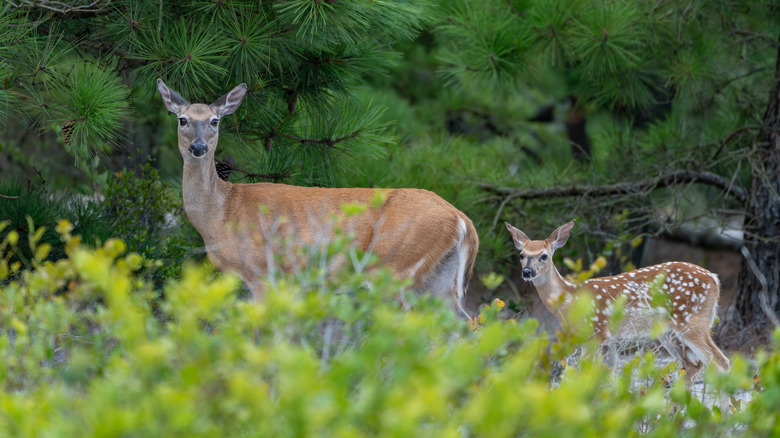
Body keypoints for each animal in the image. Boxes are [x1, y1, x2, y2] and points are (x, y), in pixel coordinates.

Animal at [156, 79, 479, 317]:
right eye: (182, 119)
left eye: (214, 121)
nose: (198, 147)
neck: (221, 214)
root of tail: (463, 220)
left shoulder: (262, 271)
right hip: (439, 278)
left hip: (394, 266)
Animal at [505, 220, 730, 385]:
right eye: (522, 254)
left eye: (543, 256)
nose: (527, 272)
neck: (569, 301)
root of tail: (715, 279)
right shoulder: (606, 340)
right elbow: (608, 375)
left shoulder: (594, 334)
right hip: (667, 332)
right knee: (693, 366)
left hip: (692, 321)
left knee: (721, 362)